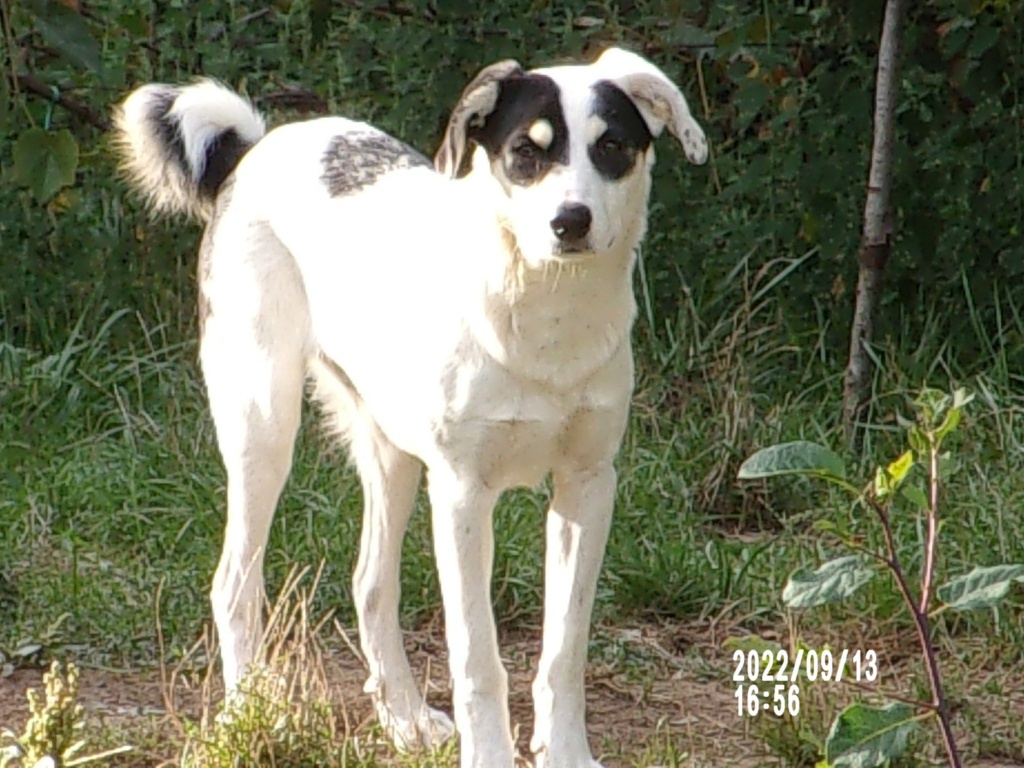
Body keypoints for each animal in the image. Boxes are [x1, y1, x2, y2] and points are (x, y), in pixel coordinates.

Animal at [112, 48, 704, 768]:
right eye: (523, 152)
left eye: (612, 146)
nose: (571, 222)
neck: (546, 319)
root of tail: (256, 149)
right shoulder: (462, 495)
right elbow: (476, 658)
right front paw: (490, 755)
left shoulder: (587, 488)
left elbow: (564, 651)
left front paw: (565, 754)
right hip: (262, 428)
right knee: (235, 583)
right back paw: (251, 711)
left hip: (390, 454)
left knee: (371, 583)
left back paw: (406, 720)